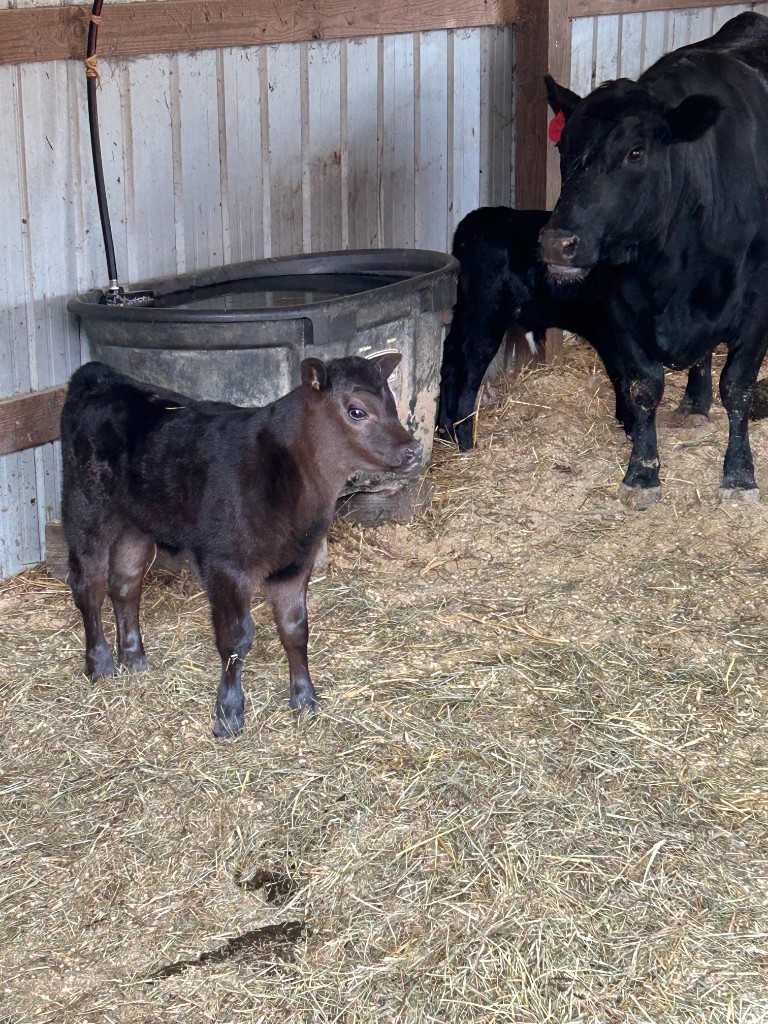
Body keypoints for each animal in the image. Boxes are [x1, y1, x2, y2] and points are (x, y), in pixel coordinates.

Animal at [60, 355, 420, 738]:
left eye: (392, 405)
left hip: (137, 522)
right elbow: (236, 638)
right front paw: (229, 713)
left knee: (125, 584)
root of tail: (98, 374)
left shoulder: (296, 561)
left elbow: (295, 629)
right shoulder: (226, 563)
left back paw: (134, 658)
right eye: (356, 411)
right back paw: (100, 665)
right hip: (85, 509)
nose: (413, 449)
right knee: (89, 586)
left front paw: (304, 698)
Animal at [437, 205, 713, 452]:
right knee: (470, 369)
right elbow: (625, 377)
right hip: (488, 314)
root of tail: (476, 221)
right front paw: (632, 426)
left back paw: (445, 430)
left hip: (465, 311)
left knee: (450, 357)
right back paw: (465, 440)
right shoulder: (612, 332)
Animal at [540, 12, 768, 508]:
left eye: (636, 151)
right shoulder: (621, 304)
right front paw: (642, 473)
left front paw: (739, 475)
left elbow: (738, 387)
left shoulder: (758, 304)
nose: (555, 242)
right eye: (563, 149)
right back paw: (695, 403)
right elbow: (644, 386)